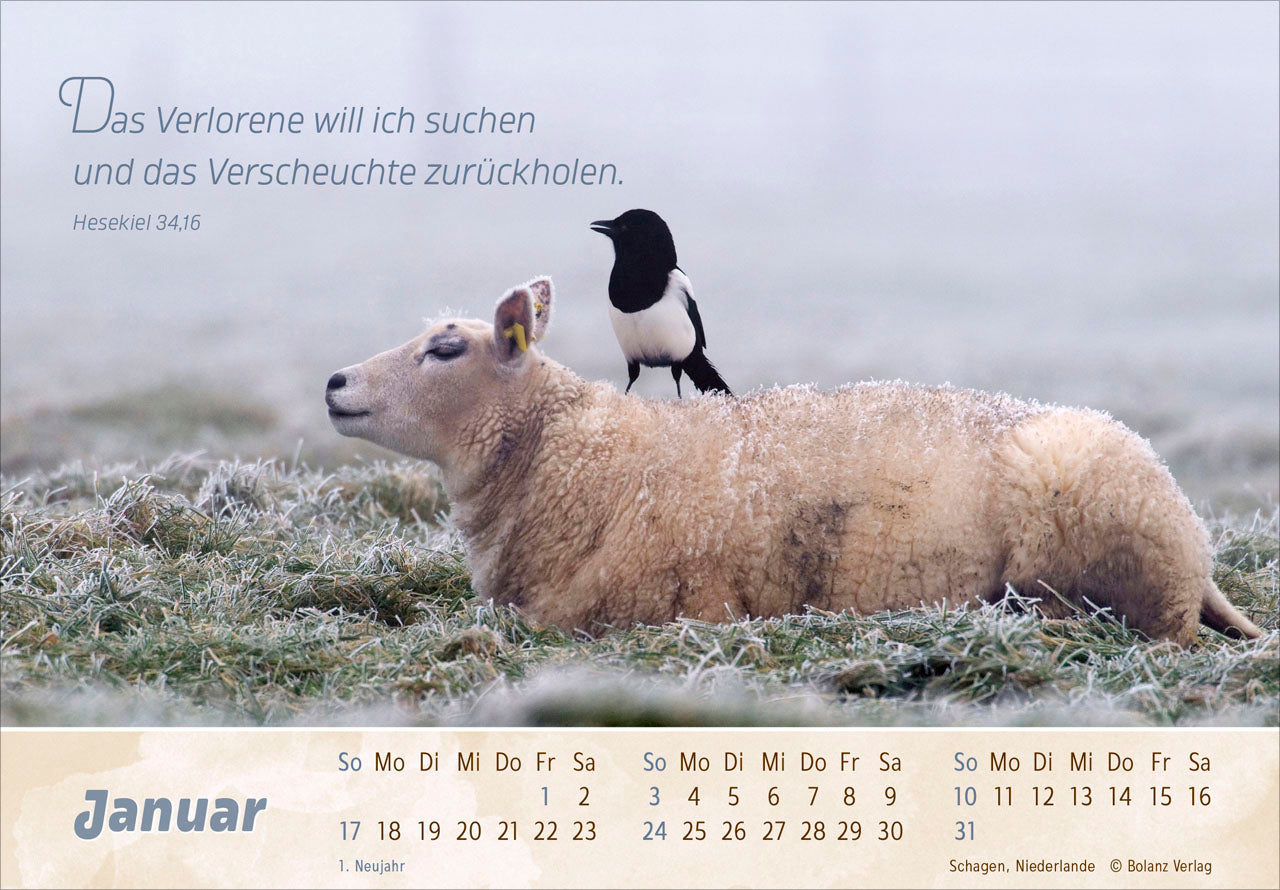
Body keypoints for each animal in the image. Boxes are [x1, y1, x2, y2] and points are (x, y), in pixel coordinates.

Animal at [325, 276, 1263, 646]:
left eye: (446, 348)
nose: (335, 382)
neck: (580, 459)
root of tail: (1195, 547)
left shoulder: (672, 607)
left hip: (1103, 557)